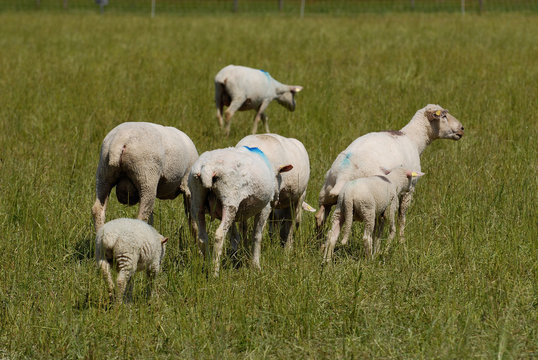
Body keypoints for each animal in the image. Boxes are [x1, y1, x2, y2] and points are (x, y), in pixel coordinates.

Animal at [187, 146, 292, 276]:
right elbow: (257, 236)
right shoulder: (265, 208)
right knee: (219, 234)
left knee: (202, 237)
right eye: (279, 179)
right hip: (229, 199)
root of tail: (206, 167)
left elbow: (234, 237)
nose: (276, 200)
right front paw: (256, 266)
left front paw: (235, 259)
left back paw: (207, 266)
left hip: (198, 199)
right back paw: (214, 273)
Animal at [314, 104, 460, 242]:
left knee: (320, 217)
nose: (462, 128)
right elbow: (402, 217)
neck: (414, 138)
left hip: (327, 194)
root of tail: (343, 174)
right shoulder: (409, 189)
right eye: (444, 116)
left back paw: (318, 241)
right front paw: (401, 241)